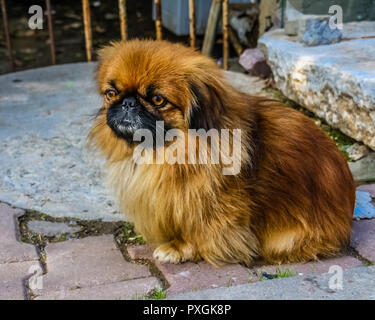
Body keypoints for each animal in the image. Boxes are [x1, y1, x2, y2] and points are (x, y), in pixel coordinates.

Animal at [89, 40, 356, 266]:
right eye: (111, 93)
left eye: (157, 99)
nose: (128, 103)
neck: (168, 151)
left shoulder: (211, 201)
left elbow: (199, 230)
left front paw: (177, 248)